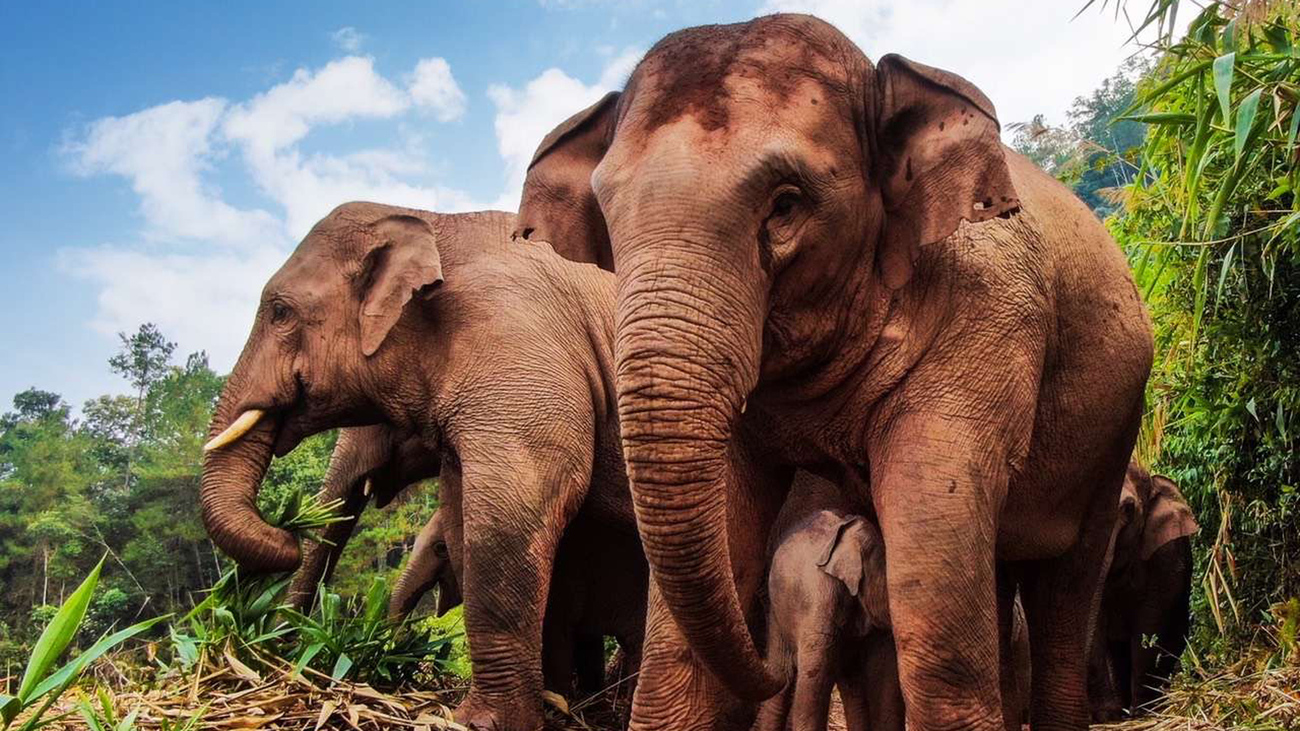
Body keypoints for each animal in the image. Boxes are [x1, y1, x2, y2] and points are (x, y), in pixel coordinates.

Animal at [201, 200, 650, 728]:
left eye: (279, 311)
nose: (287, 529)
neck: (431, 220)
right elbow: (461, 519)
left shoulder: (520, 354)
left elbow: (510, 515)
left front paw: (482, 721)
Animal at [512, 12, 1154, 728]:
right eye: (608, 216)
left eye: (786, 204)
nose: (773, 662)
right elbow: (727, 528)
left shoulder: (987, 317)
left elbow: (930, 558)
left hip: (1114, 429)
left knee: (1065, 586)